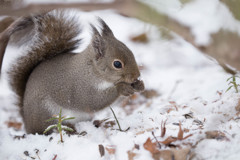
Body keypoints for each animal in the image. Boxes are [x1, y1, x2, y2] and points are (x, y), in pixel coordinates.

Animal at [1, 9, 144, 134]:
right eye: (117, 64)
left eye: (130, 51)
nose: (136, 75)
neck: (92, 70)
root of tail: (27, 123)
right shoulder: (81, 88)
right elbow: (93, 101)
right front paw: (122, 88)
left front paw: (139, 85)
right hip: (47, 112)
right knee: (49, 128)